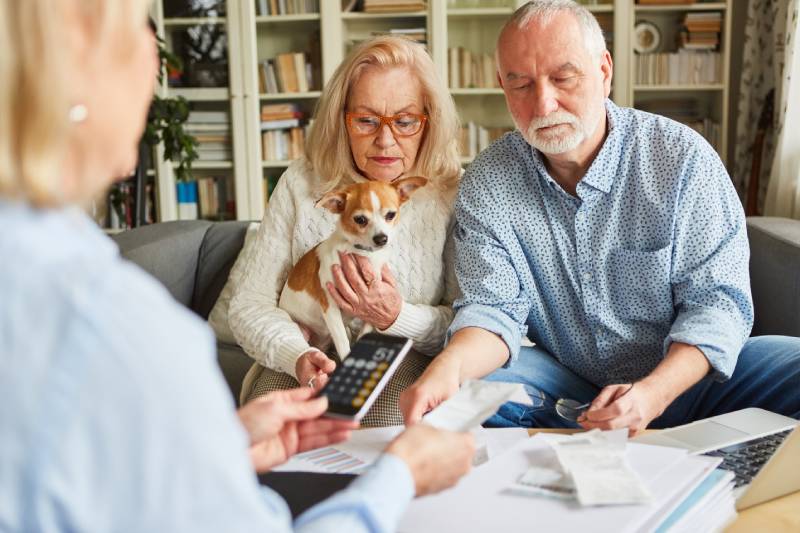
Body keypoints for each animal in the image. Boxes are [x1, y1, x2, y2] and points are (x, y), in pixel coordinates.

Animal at [278, 177, 428, 360]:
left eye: (391, 215)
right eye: (360, 220)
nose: (381, 238)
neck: (363, 253)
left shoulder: (374, 305)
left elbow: (365, 331)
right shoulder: (330, 307)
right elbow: (343, 343)